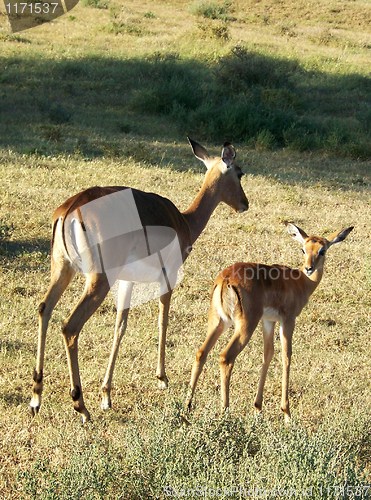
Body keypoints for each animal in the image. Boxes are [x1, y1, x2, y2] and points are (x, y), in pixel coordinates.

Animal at [29, 137, 250, 422]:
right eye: (239, 173)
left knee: (44, 309)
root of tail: (70, 210)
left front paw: (106, 395)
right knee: (69, 326)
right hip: (98, 282)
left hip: (63, 270)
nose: (245, 203)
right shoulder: (168, 276)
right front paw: (162, 378)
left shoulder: (127, 281)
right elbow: (163, 321)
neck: (184, 221)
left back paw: (36, 397)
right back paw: (80, 406)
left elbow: (119, 327)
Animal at [187, 223, 354, 422]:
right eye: (303, 249)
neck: (300, 283)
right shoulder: (288, 320)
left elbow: (268, 354)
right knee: (226, 357)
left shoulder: (268, 321)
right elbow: (286, 356)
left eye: (322, 250)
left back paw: (187, 407)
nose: (309, 268)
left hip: (219, 321)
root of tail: (226, 279)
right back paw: (225, 411)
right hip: (245, 326)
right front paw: (287, 413)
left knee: (201, 353)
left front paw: (258, 407)